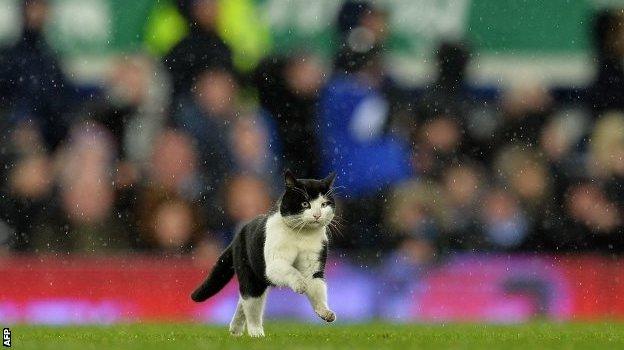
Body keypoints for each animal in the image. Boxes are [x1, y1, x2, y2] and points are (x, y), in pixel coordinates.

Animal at [191, 170, 338, 336]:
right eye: (305, 204)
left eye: (324, 204)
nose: (317, 215)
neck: (301, 234)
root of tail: (238, 235)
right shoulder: (273, 265)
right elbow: (291, 271)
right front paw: (301, 284)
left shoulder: (313, 266)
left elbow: (317, 290)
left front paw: (325, 312)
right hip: (251, 276)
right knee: (251, 304)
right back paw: (256, 333)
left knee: (243, 302)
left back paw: (235, 330)